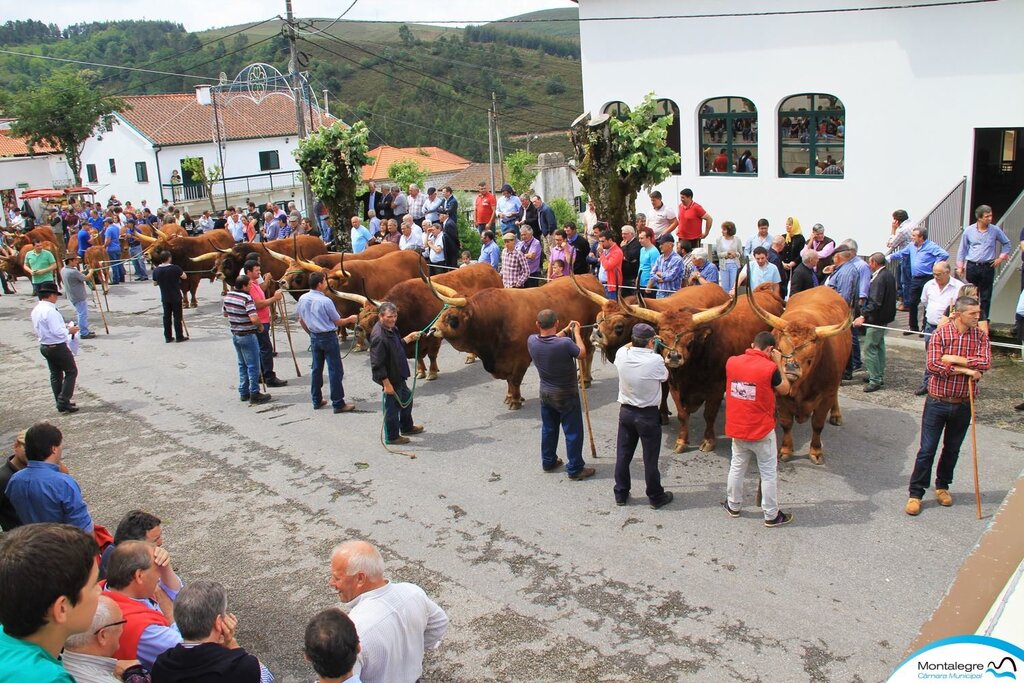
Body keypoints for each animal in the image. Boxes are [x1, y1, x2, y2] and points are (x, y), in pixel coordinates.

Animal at [336, 263, 502, 380]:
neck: (409, 309)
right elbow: (419, 357)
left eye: (374, 318)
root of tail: (488, 267)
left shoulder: (433, 337)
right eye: (361, 314)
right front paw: (421, 371)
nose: (358, 329)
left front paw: (432, 372)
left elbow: (432, 355)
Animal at [425, 274, 605, 410]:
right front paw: (509, 396)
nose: (432, 329)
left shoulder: (521, 359)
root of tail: (588, 277)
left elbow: (515, 380)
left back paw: (586, 380)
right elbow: (509, 381)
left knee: (588, 354)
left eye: (452, 317)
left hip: (587, 333)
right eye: (442, 312)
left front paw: (515, 400)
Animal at [618, 283, 785, 453]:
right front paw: (681, 441)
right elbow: (682, 414)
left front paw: (708, 441)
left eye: (690, 341)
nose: (674, 357)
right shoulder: (674, 385)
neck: (690, 372)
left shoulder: (717, 386)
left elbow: (709, 414)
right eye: (662, 339)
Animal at [746, 284, 852, 464]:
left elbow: (817, 424)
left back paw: (836, 415)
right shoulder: (780, 395)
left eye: (810, 358)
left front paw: (816, 452)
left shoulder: (826, 395)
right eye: (780, 349)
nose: (790, 368)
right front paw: (785, 450)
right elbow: (786, 423)